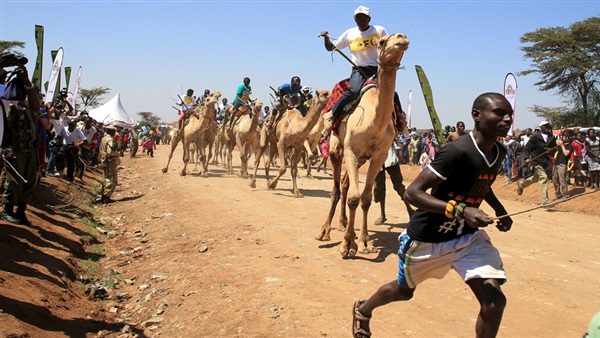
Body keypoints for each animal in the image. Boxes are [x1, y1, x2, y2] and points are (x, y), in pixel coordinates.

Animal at [316, 33, 410, 258]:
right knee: (336, 189)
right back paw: (325, 231)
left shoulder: (379, 155)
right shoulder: (351, 150)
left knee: (344, 185)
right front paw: (347, 244)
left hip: (360, 159)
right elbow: (353, 197)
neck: (373, 122)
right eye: (382, 42)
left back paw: (342, 223)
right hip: (336, 149)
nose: (401, 37)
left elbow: (365, 198)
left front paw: (365, 241)